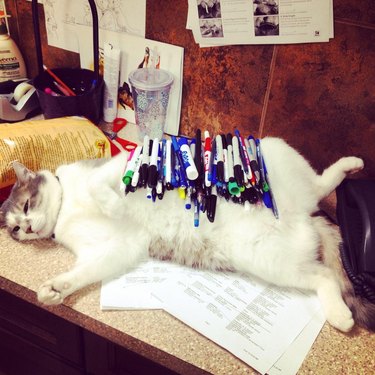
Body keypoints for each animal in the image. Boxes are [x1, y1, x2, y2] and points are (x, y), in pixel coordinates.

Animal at [0, 137, 374, 332]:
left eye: (28, 204)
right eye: (15, 228)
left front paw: (115, 203)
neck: (67, 206)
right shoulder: (116, 247)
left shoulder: (118, 163)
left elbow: (100, 184)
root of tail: (303, 215)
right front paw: (54, 289)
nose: (28, 227)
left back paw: (351, 163)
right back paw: (340, 314)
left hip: (273, 151)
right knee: (324, 274)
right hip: (270, 259)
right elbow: (83, 272)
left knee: (321, 184)